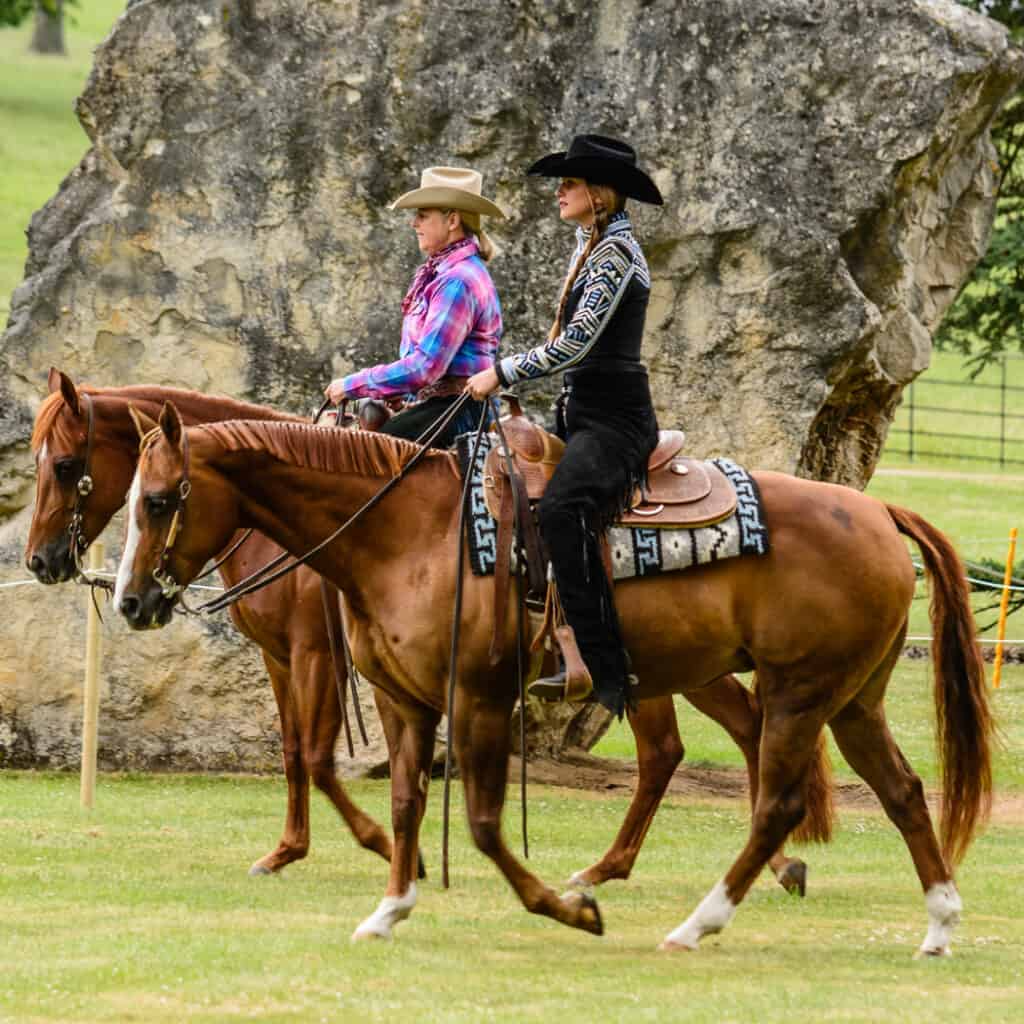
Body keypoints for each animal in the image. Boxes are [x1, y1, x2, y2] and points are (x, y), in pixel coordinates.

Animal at [24, 370, 811, 897]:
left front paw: (385, 847)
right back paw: (762, 862)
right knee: (721, 734)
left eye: (65, 465)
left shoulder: (315, 653)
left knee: (681, 747)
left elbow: (318, 758)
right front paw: (286, 851)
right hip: (686, 662)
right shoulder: (281, 658)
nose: (40, 560)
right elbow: (292, 755)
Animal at [114, 409, 991, 958]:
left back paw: (695, 922)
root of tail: (878, 511)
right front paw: (390, 907)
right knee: (903, 791)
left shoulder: (474, 698)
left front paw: (567, 910)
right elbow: (403, 804)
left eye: (157, 500)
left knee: (776, 802)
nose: (129, 601)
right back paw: (940, 924)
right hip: (851, 699)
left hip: (799, 692)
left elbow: (481, 824)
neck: (406, 534)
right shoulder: (402, 701)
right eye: (126, 497)